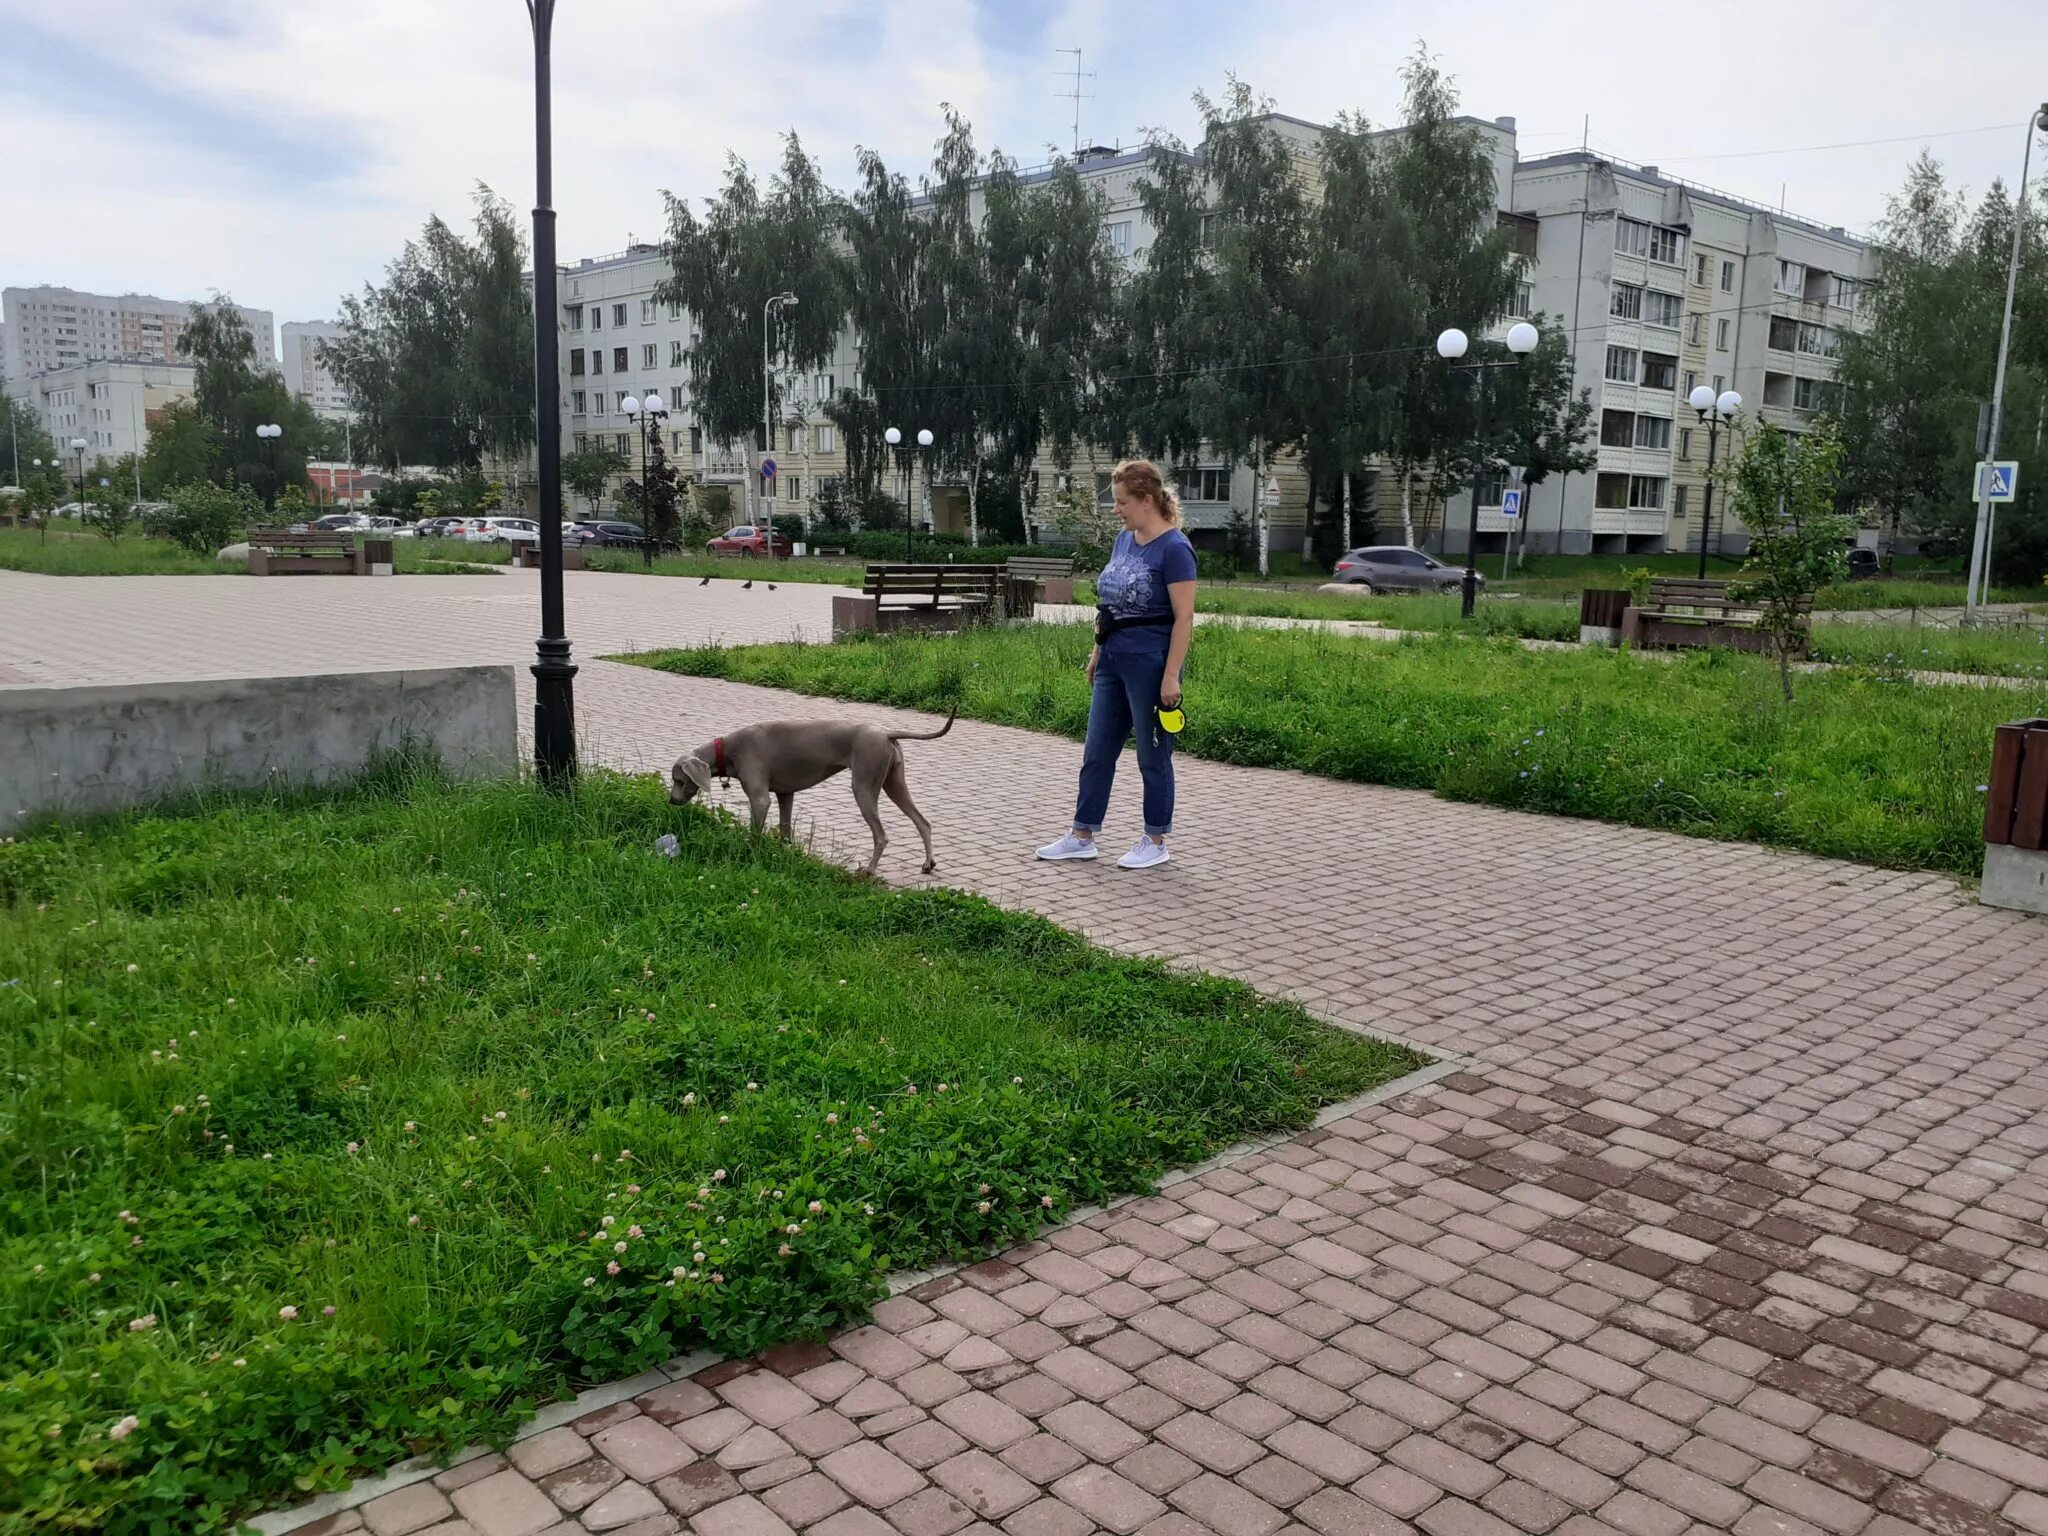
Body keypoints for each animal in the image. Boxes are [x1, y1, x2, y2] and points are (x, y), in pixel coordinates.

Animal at [671, 712, 958, 876]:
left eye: (678, 780)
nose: (671, 800)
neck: (729, 749)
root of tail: (886, 732)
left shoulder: (760, 798)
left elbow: (755, 833)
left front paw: (750, 856)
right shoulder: (785, 794)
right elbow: (785, 830)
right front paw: (784, 856)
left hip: (864, 786)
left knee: (881, 835)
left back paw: (868, 870)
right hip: (893, 782)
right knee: (923, 821)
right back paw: (928, 863)